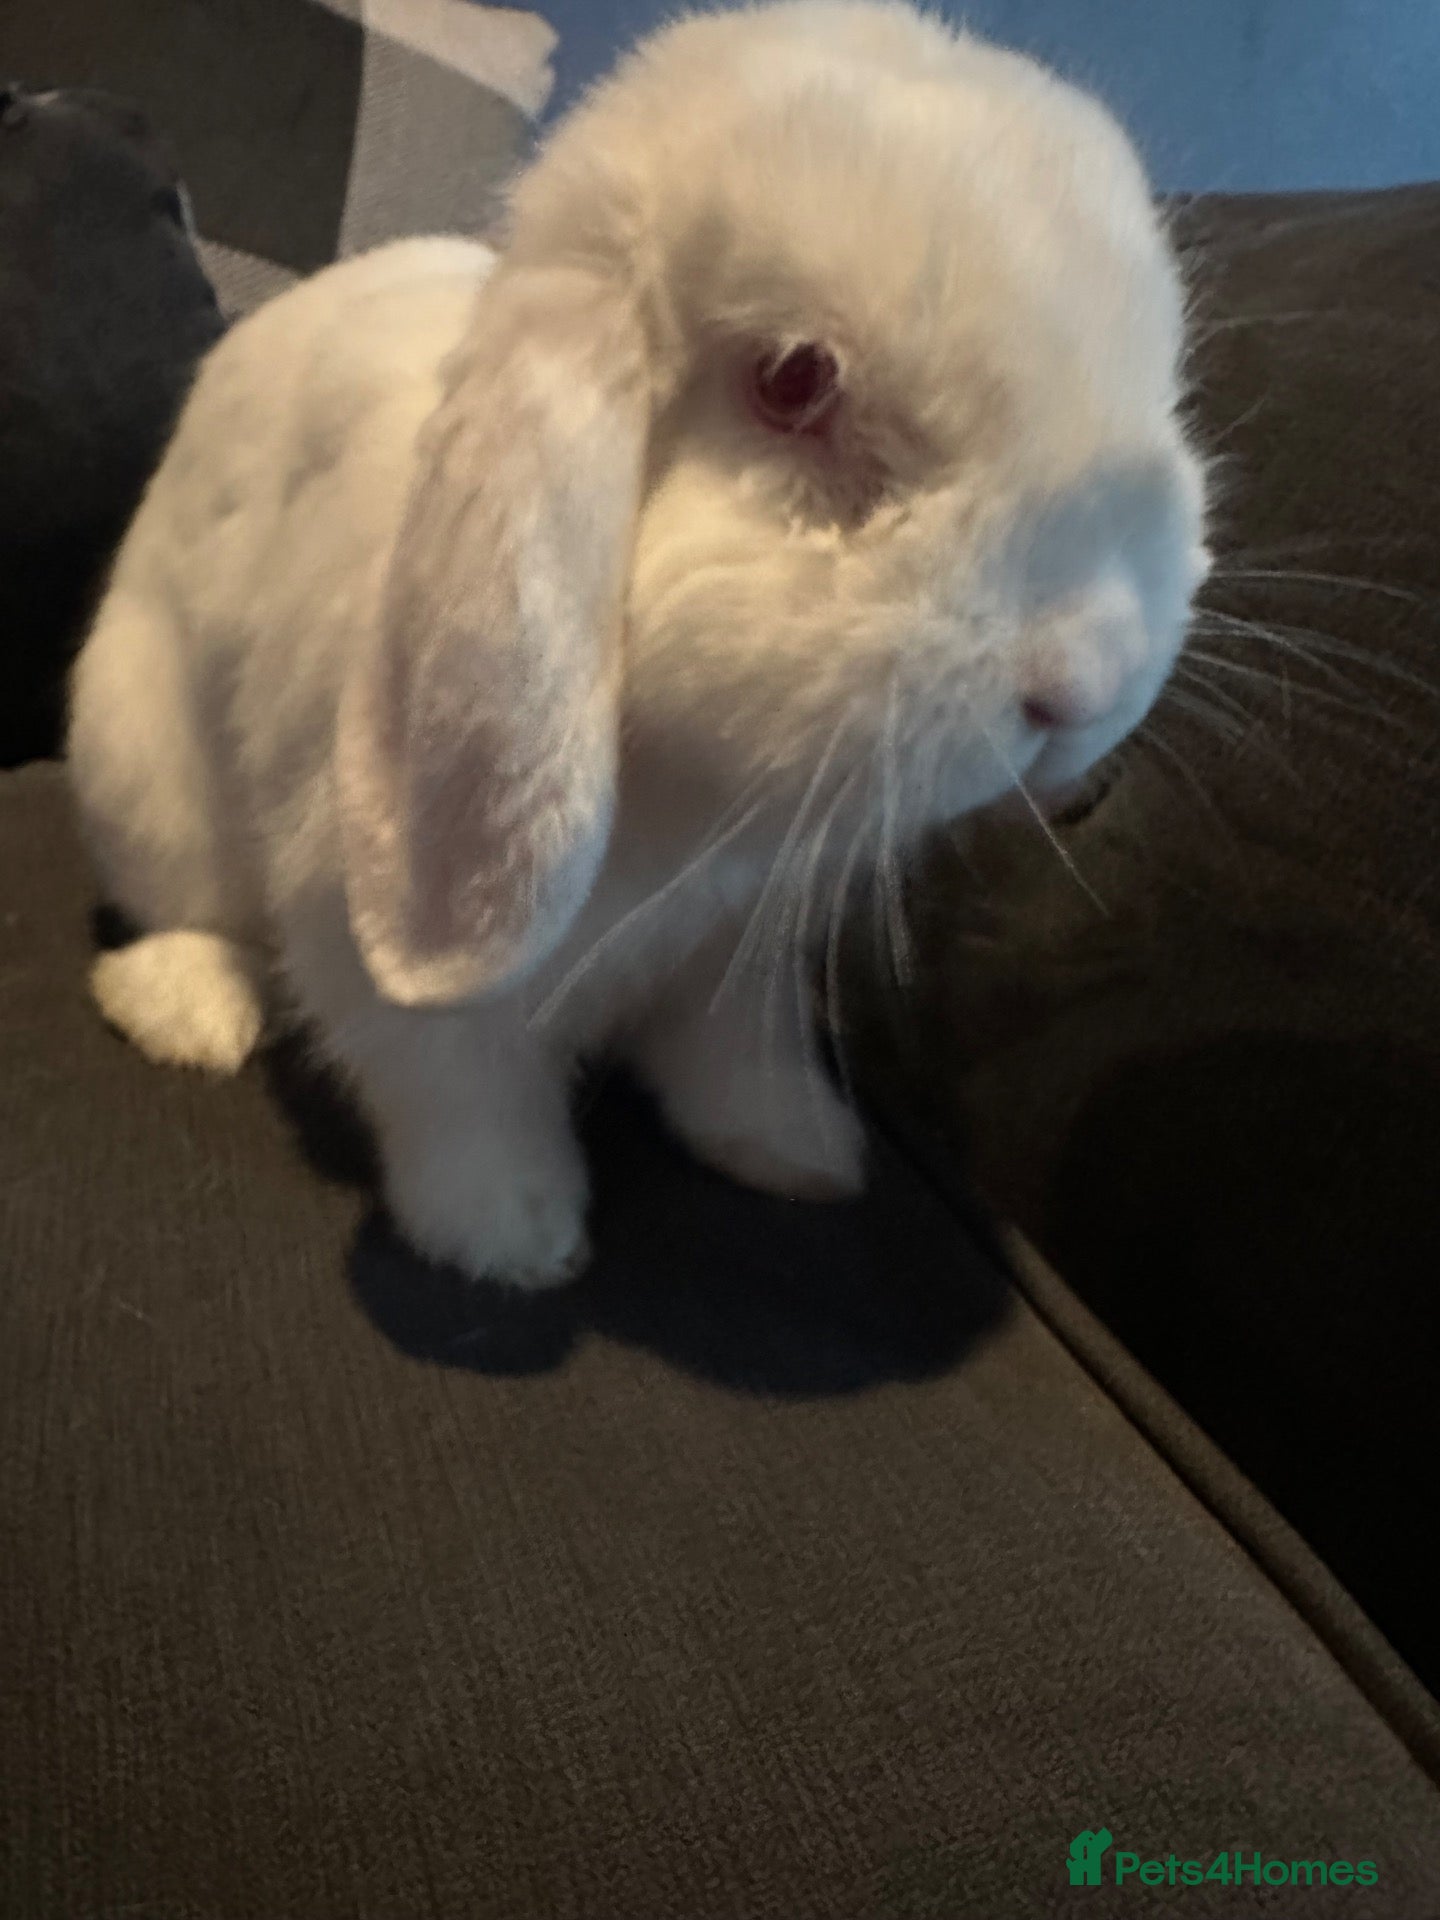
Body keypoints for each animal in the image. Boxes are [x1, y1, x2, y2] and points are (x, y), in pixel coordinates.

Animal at [68, 0, 1208, 1289]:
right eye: (794, 382)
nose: (1086, 681)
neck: (699, 803)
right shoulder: (376, 948)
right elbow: (458, 1091)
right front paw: (515, 1240)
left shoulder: (743, 952)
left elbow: (734, 1057)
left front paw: (799, 1155)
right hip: (142, 769)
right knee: (189, 911)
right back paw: (189, 1013)